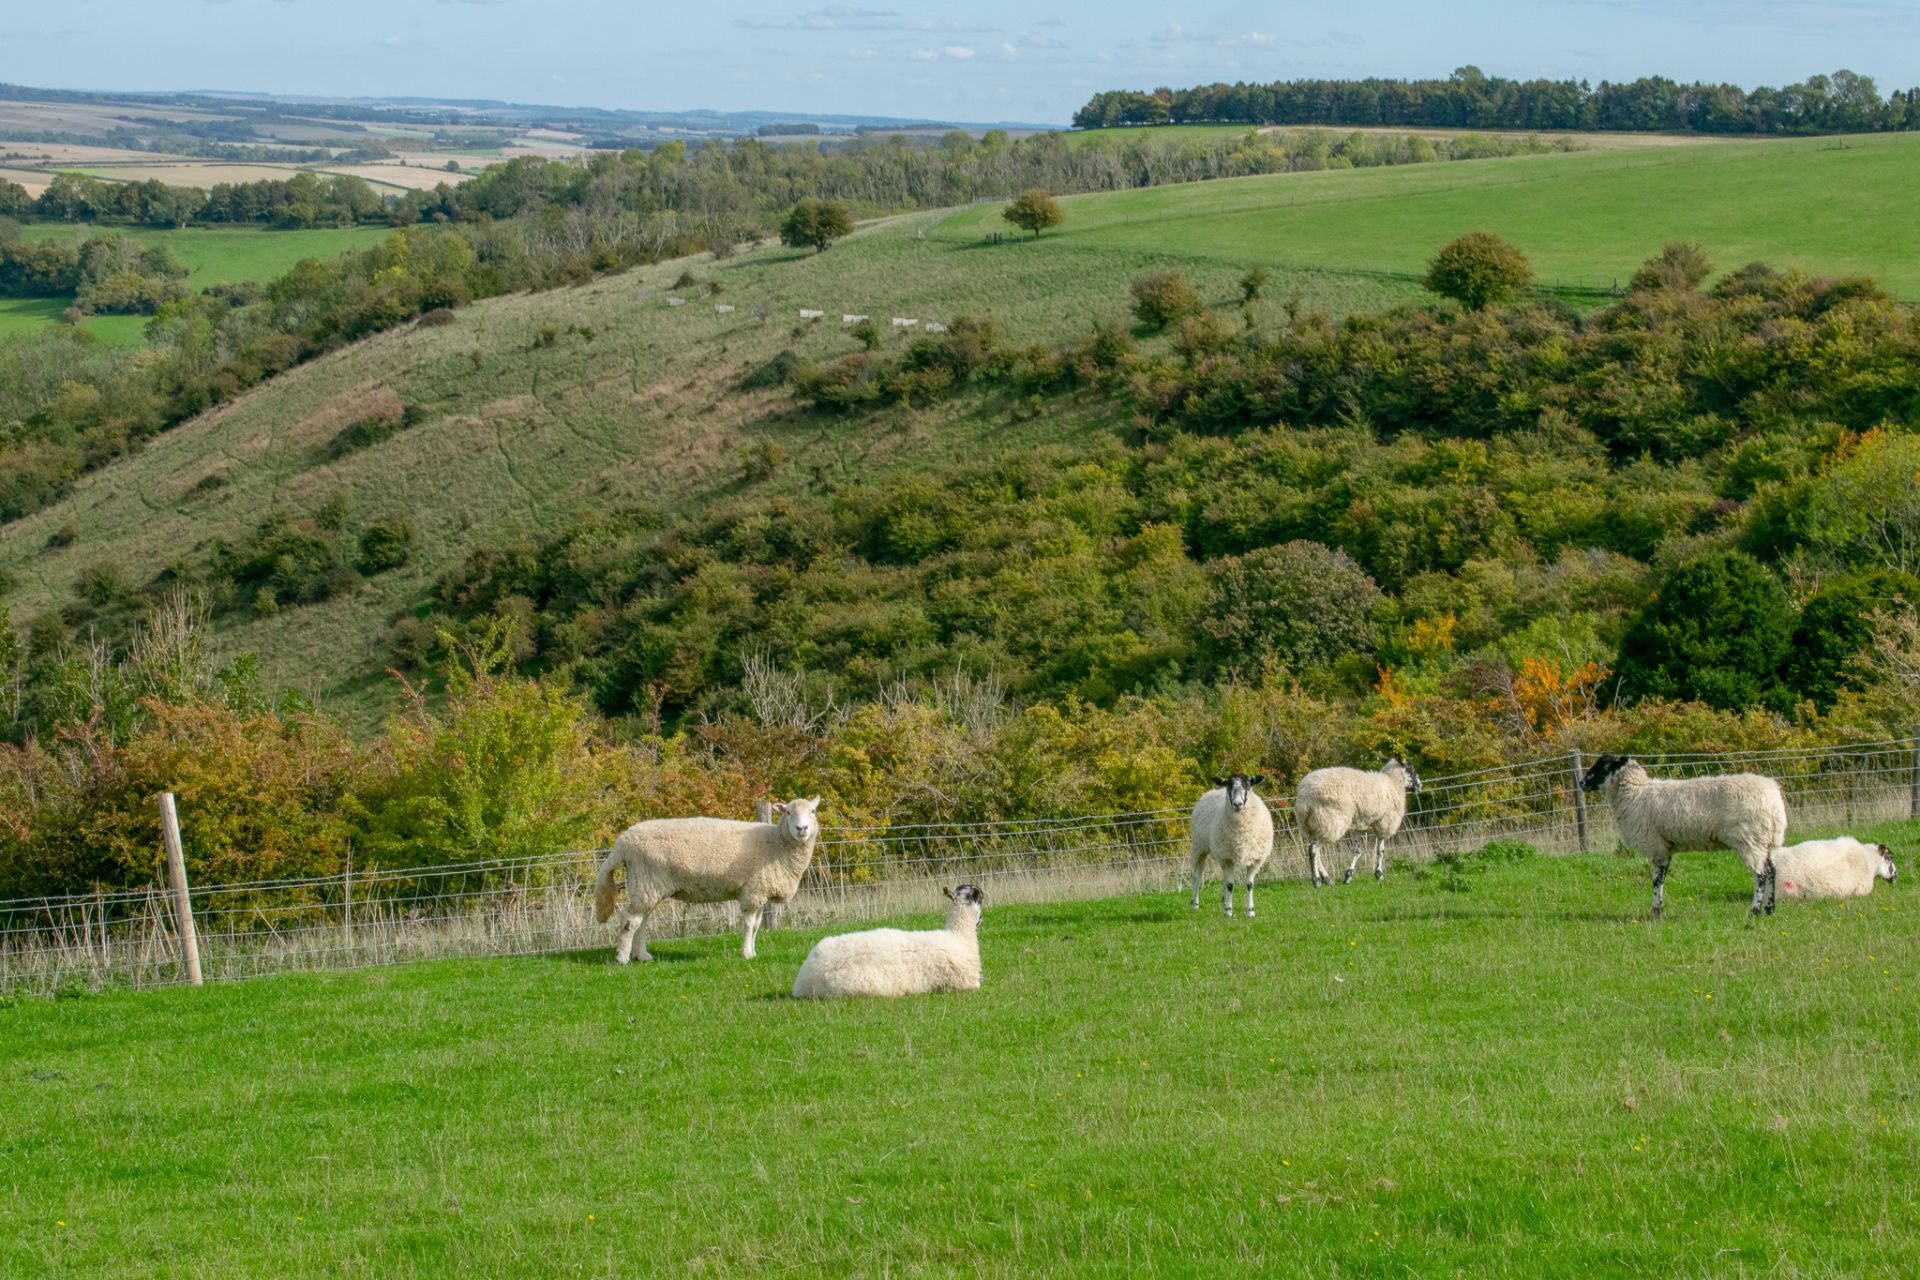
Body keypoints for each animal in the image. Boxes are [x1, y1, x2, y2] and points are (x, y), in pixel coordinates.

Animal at [593, 796, 821, 963]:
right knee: (629, 920)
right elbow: (749, 925)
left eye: (812, 811)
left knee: (641, 921)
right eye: (788, 812)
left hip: (647, 885)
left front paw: (753, 951)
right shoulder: (752, 892)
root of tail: (623, 841)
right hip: (645, 878)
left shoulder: (760, 892)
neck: (776, 844)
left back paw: (642, 956)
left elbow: (756, 925)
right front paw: (746, 953)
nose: (802, 829)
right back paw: (622, 958)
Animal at [791, 884, 985, 999]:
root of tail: (801, 981)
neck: (958, 937)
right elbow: (977, 984)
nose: (982, 919)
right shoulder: (963, 982)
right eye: (977, 896)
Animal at [1188, 773, 1275, 917]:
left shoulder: (1255, 859)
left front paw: (1250, 911)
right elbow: (1230, 885)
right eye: (1229, 786)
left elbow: (1249, 884)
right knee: (1198, 876)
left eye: (1248, 785)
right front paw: (1228, 912)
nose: (1238, 804)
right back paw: (1194, 904)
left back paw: (1223, 900)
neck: (1242, 829)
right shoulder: (1227, 857)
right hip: (1199, 847)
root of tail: (1213, 791)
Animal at [1294, 759, 1422, 887]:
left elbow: (1357, 851)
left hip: (1313, 825)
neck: (1393, 782)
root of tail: (1304, 797)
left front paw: (1348, 876)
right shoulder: (1384, 823)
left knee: (1316, 851)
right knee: (1313, 849)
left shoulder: (1357, 828)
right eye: (1411, 769)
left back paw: (1327, 879)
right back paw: (1317, 881)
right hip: (1331, 821)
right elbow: (1380, 851)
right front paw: (1379, 874)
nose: (1420, 785)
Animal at [1579, 755, 1788, 919]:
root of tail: (1774, 801)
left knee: (1761, 875)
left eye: (1604, 765)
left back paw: (1754, 912)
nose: (1581, 783)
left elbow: (1656, 880)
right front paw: (1658, 910)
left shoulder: (1656, 846)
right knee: (1772, 871)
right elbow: (1662, 878)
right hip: (1765, 842)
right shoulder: (1665, 847)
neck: (1636, 793)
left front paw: (1656, 912)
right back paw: (1769, 910)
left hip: (1750, 839)